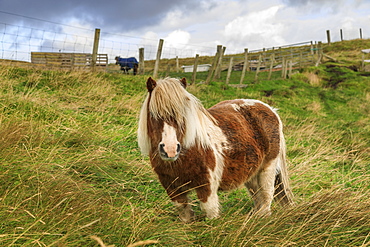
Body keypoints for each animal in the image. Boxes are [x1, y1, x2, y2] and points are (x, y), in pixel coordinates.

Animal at [137, 76, 294, 222]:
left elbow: (210, 211)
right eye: (153, 114)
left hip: (268, 168)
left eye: (184, 116)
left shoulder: (208, 187)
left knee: (266, 195)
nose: (170, 149)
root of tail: (270, 109)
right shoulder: (172, 187)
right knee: (258, 196)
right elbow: (184, 211)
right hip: (251, 173)